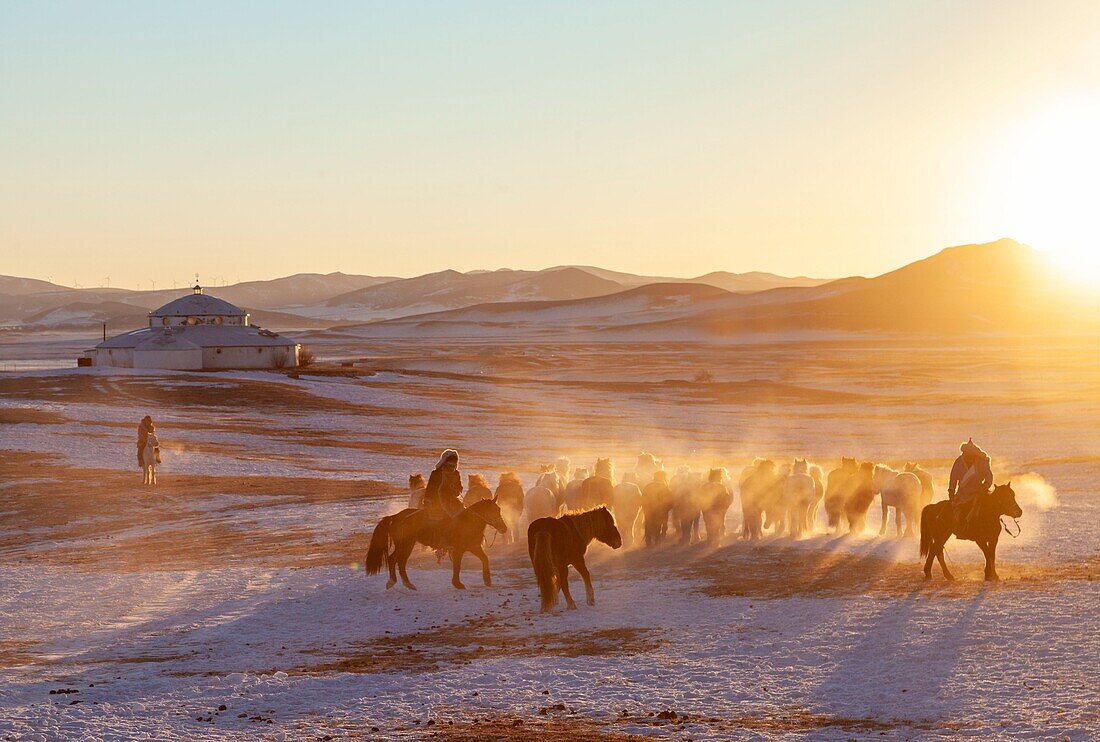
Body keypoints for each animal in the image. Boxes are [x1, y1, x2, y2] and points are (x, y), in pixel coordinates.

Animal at [367, 496, 508, 593]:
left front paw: (487, 580)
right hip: (405, 545)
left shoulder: (474, 547)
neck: (467, 522)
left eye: (499, 509)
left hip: (407, 545)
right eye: (491, 511)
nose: (504, 528)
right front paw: (458, 584)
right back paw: (395, 582)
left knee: (398, 561)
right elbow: (457, 566)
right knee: (395, 560)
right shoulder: (458, 550)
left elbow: (485, 559)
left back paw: (407, 584)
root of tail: (395, 516)